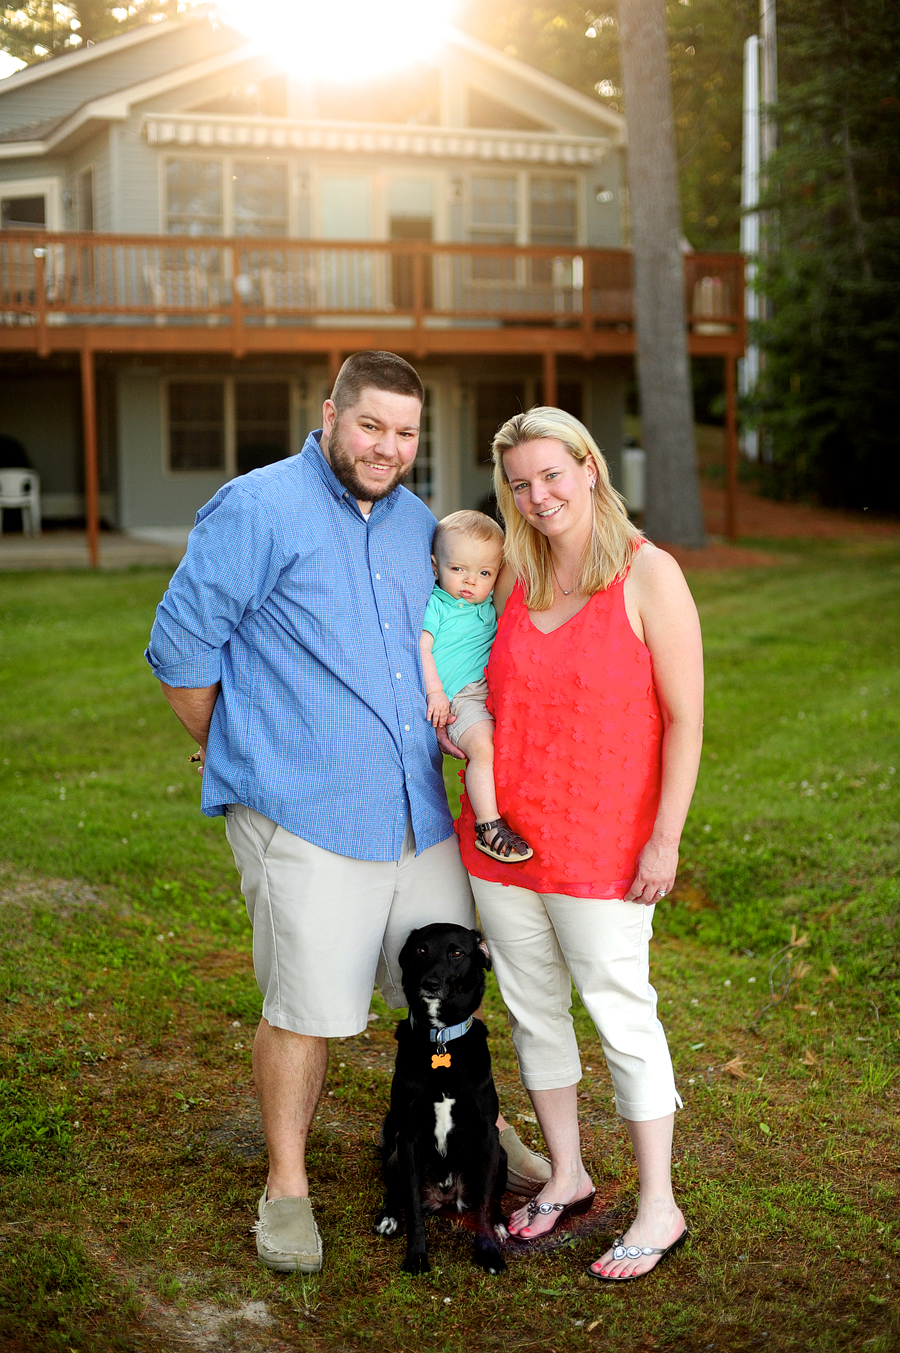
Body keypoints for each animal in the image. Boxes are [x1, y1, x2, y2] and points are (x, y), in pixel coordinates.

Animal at [370, 925, 506, 1271]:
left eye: (456, 952)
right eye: (420, 950)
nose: (429, 983)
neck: (441, 1040)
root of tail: (446, 1197)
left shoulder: (488, 1135)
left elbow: (485, 1202)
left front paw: (488, 1252)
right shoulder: (408, 1138)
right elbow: (413, 1208)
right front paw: (417, 1256)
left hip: (501, 1155)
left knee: (492, 1197)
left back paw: (501, 1223)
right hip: (394, 1157)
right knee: (397, 1192)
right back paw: (388, 1216)